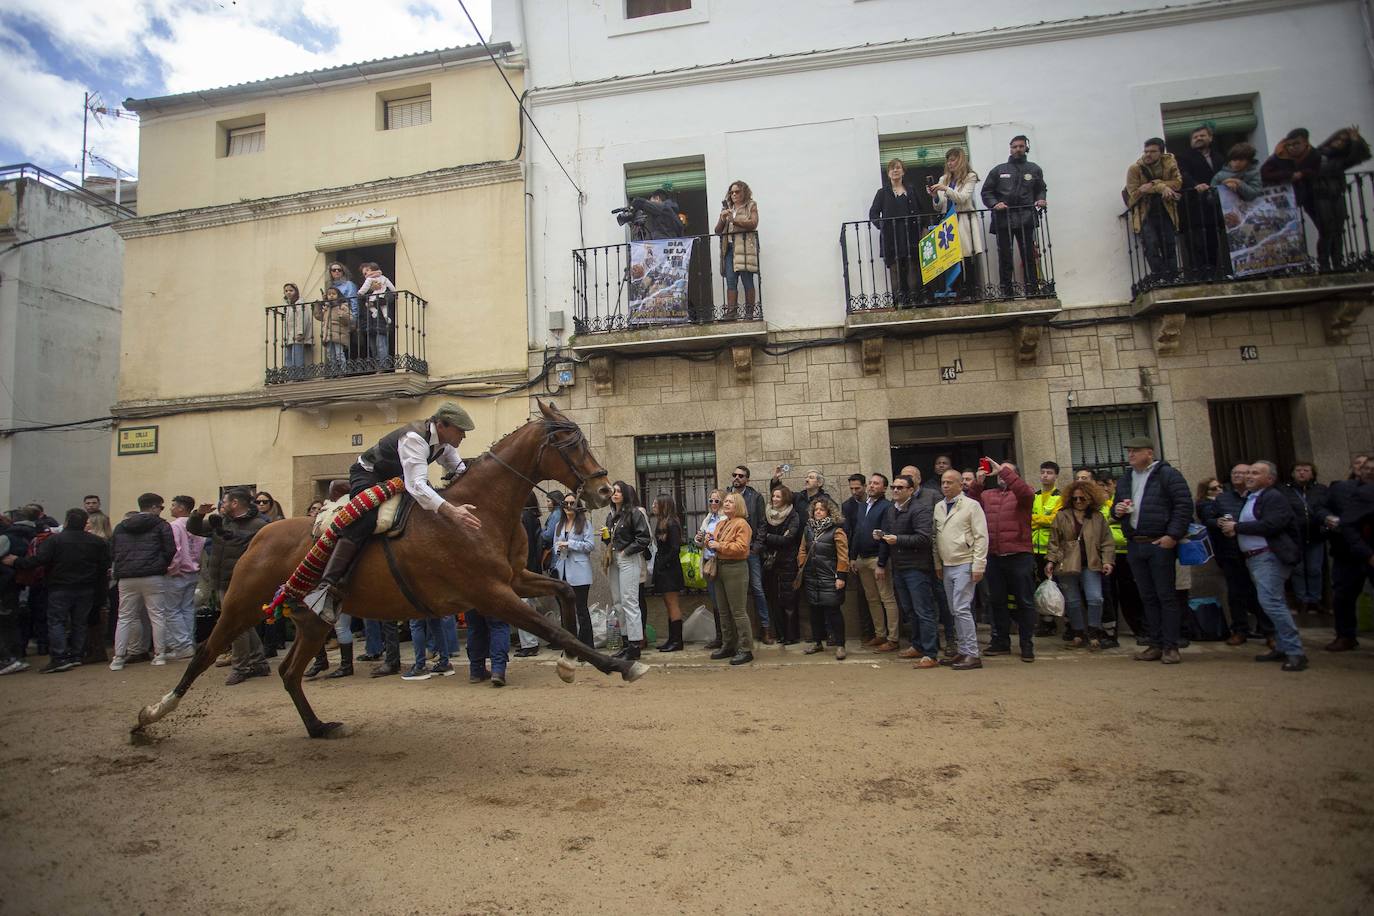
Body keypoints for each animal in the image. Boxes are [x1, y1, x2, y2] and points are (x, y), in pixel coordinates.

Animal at [136, 398, 651, 736]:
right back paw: (151, 715)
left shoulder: (514, 579)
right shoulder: (492, 592)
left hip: (311, 620)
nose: (602, 492)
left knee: (288, 672)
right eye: (569, 440)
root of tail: (257, 532)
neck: (483, 511)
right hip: (242, 604)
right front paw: (618, 665)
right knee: (205, 655)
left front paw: (571, 663)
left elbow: (563, 596)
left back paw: (318, 727)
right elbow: (556, 627)